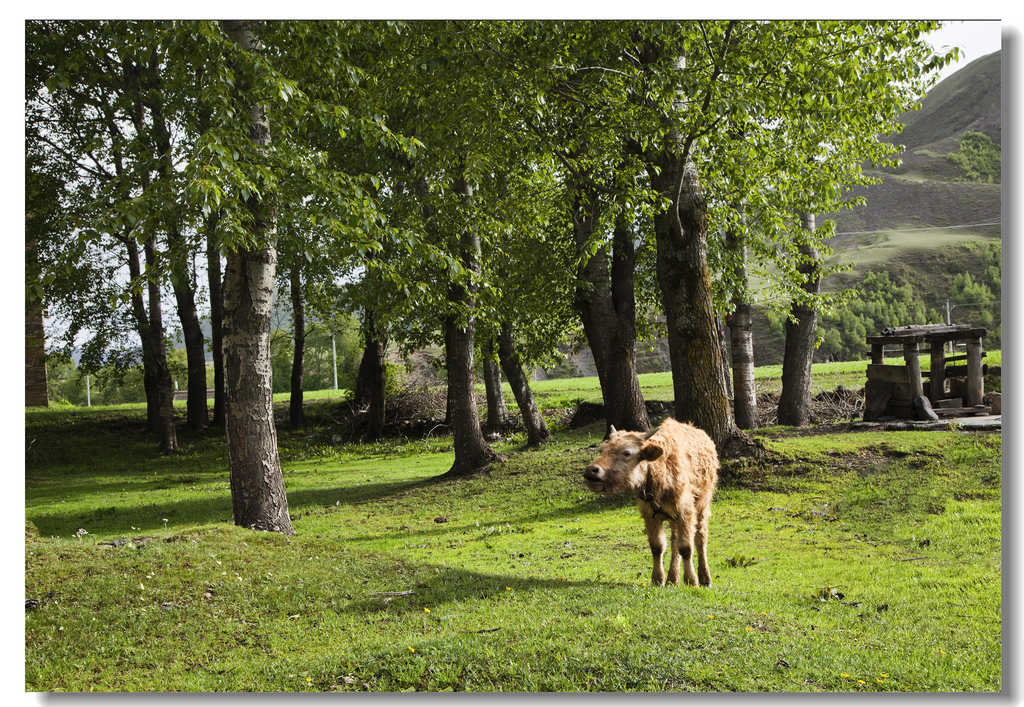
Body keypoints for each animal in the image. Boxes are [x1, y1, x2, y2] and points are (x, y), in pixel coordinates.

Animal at [585, 416, 720, 586]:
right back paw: (672, 579)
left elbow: (686, 548)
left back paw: (705, 578)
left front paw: (691, 580)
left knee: (700, 539)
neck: (659, 471)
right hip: (673, 518)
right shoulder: (650, 515)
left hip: (703, 505)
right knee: (674, 541)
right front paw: (657, 579)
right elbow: (657, 547)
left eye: (627, 453)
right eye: (602, 450)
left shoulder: (685, 512)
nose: (591, 470)